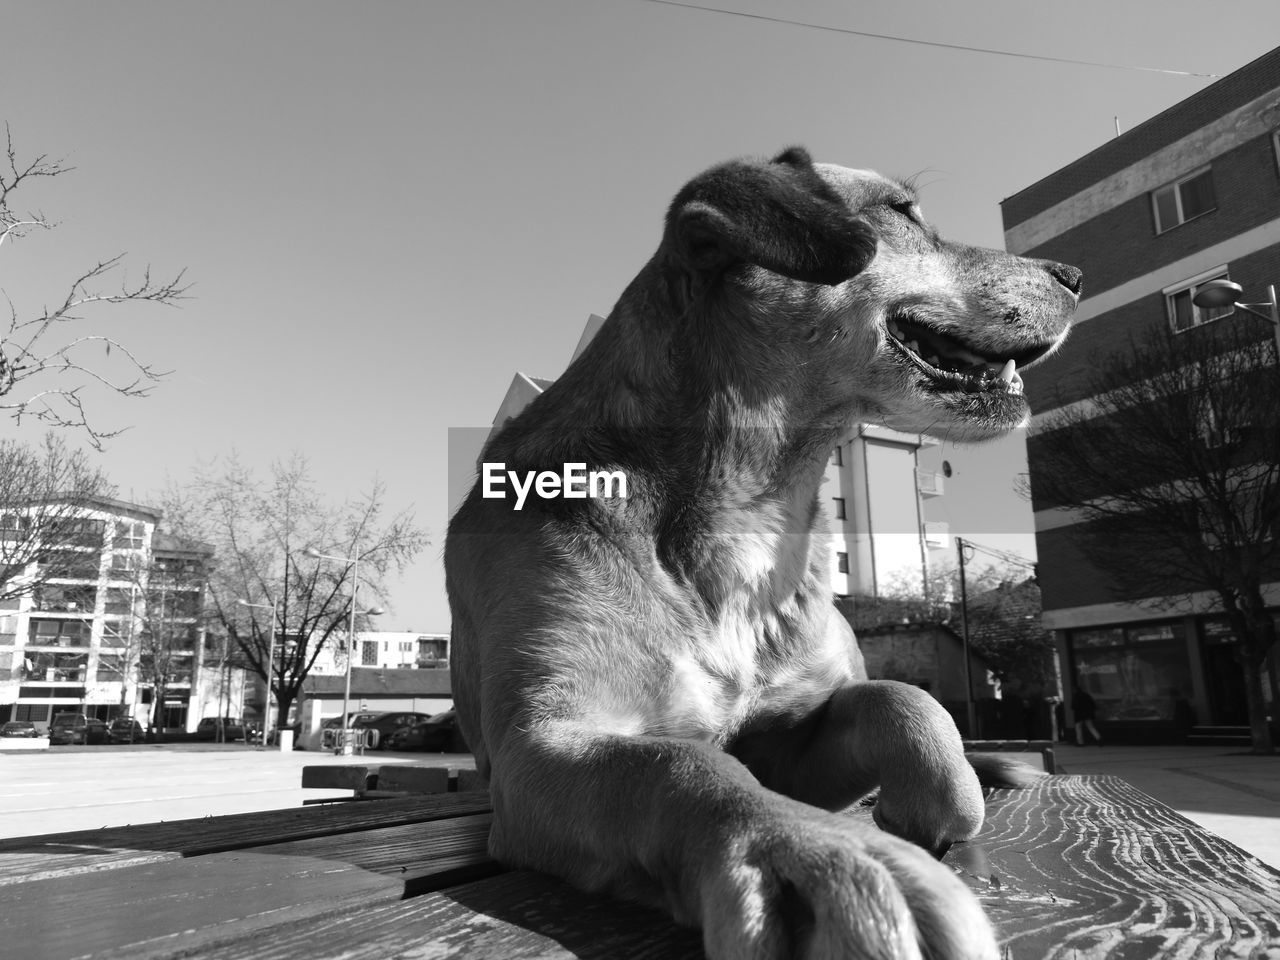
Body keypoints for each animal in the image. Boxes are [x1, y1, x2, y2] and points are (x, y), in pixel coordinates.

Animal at [445, 146, 1075, 957]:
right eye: (901, 212)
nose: (1074, 274)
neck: (748, 513)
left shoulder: (790, 744)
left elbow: (907, 704)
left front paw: (935, 808)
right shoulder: (543, 747)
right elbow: (684, 767)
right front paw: (817, 852)